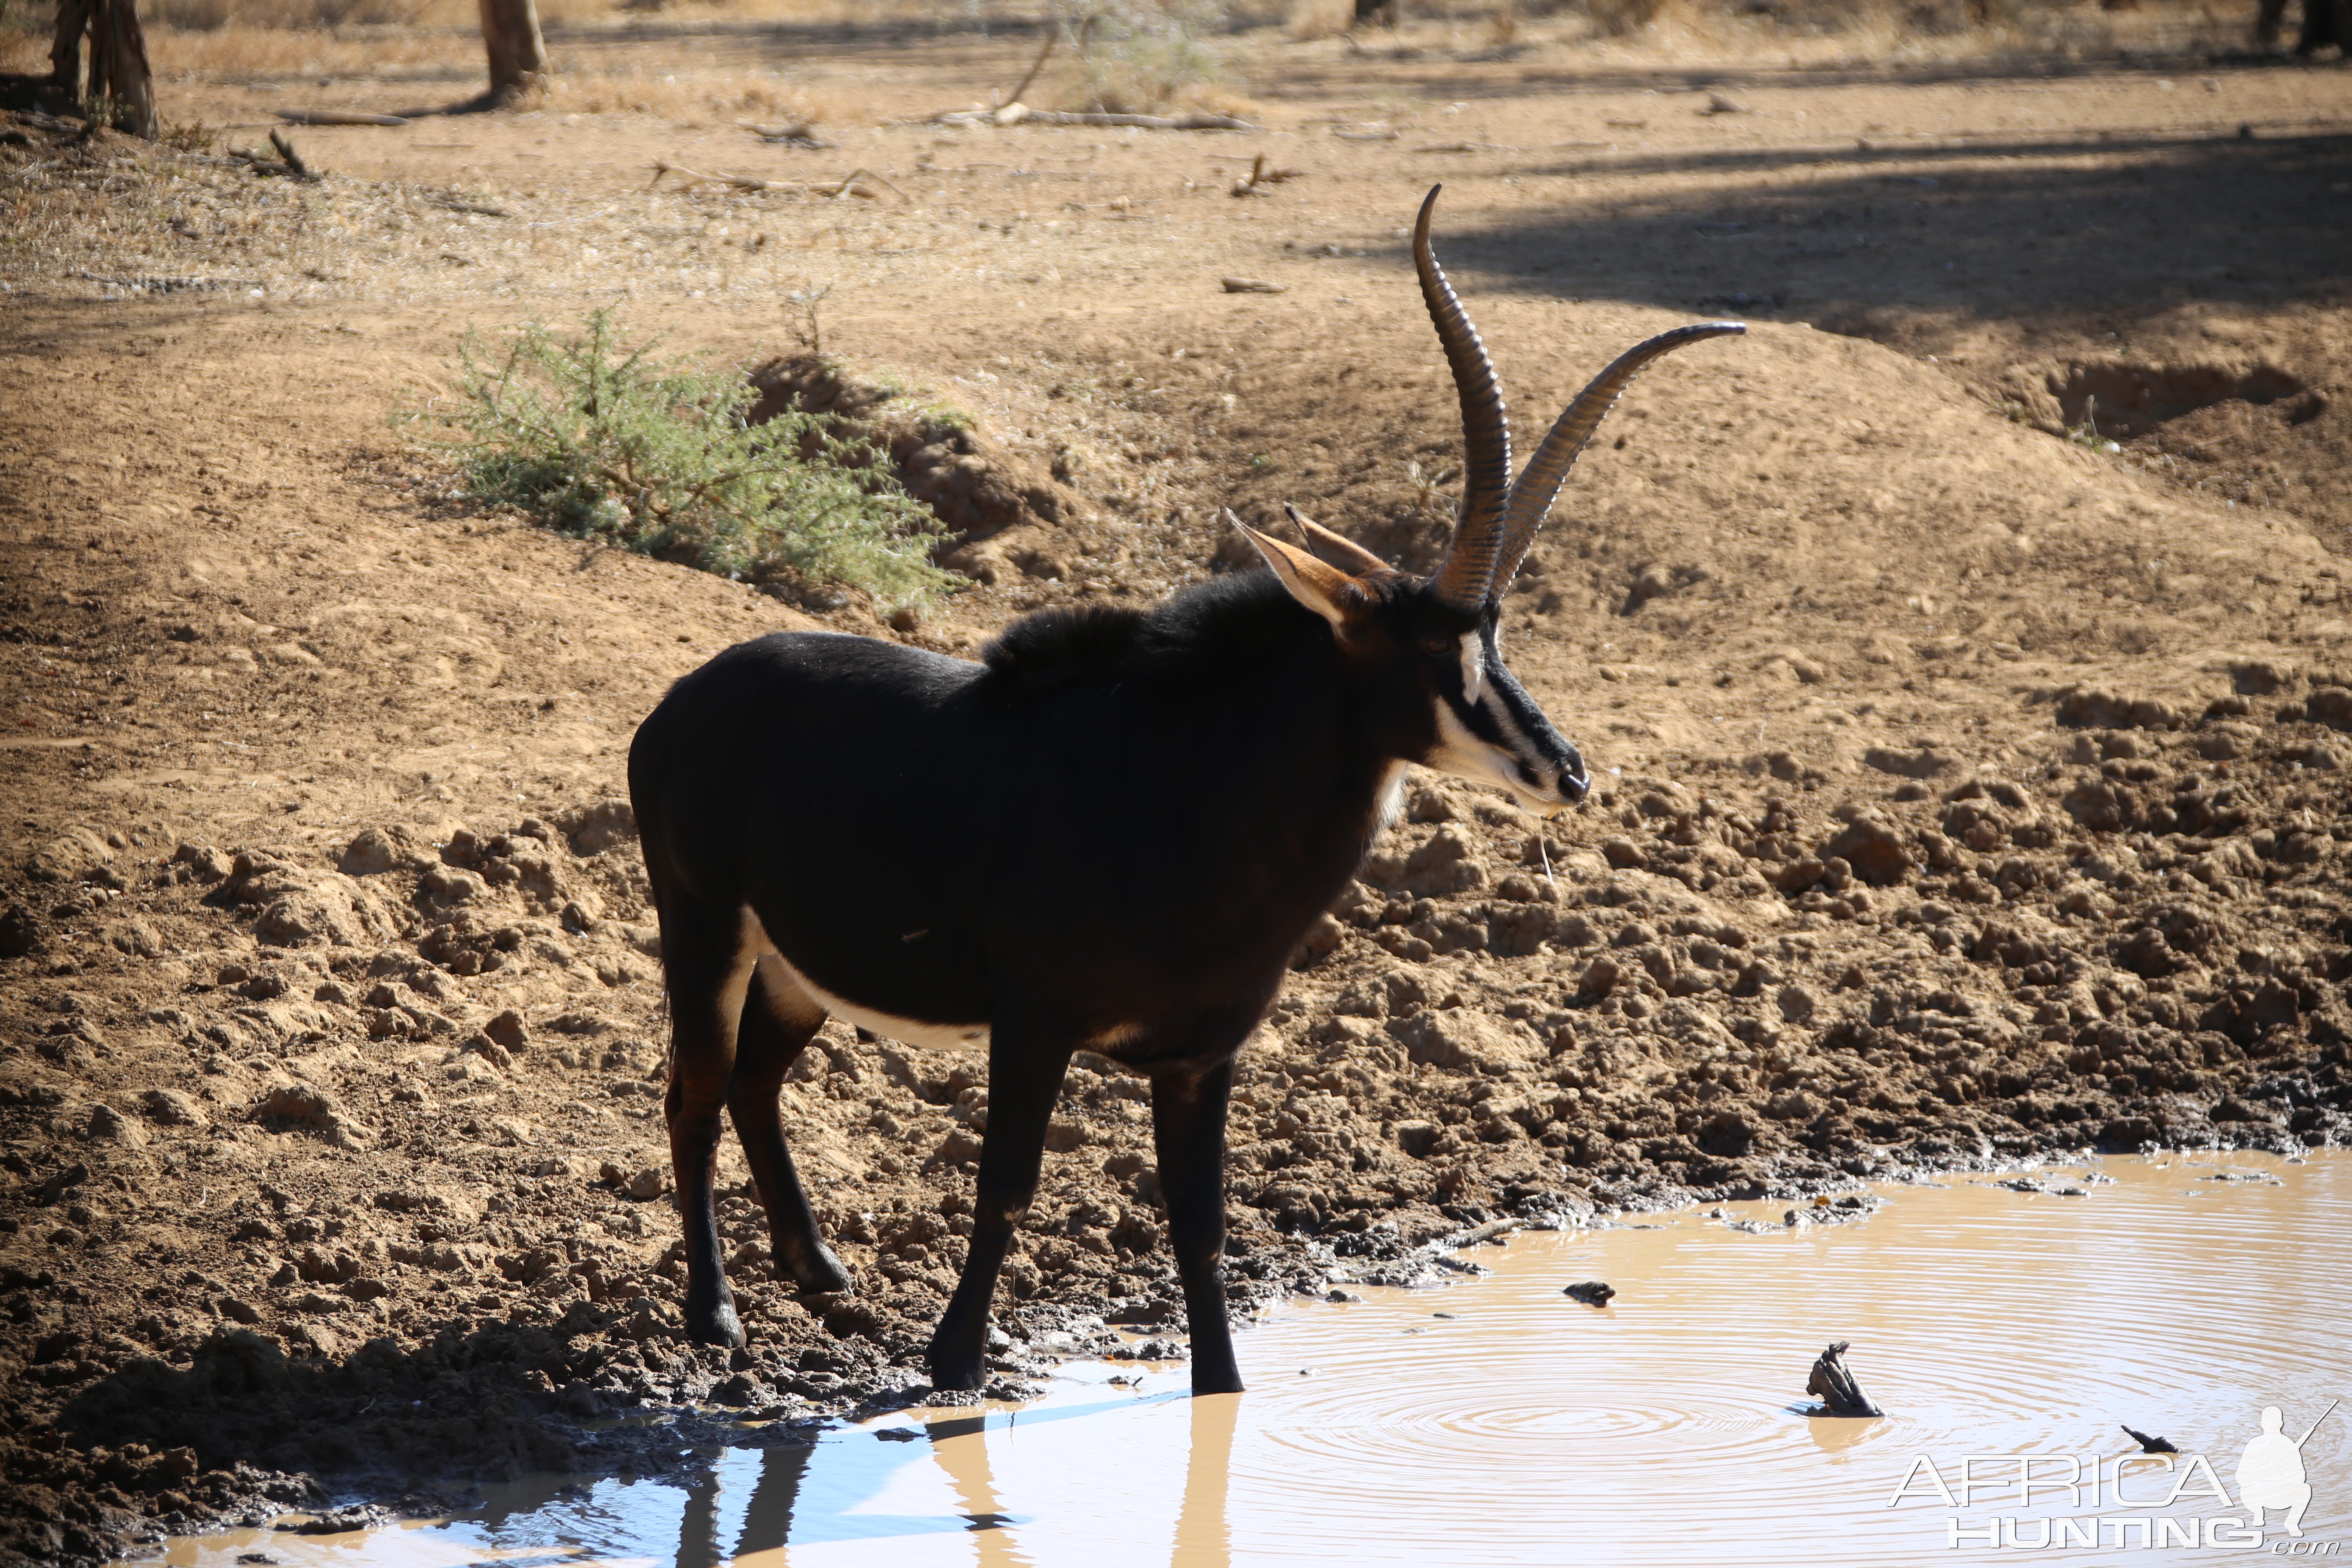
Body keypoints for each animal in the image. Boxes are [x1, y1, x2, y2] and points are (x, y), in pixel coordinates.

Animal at [635, 187, 1740, 1401]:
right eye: (1425, 653)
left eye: (1494, 641)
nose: (1566, 770)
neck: (1192, 799)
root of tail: (682, 701)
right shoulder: (1034, 1025)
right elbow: (1007, 1184)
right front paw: (954, 1363)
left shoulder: (1203, 1055)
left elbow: (1200, 1218)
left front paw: (1222, 1388)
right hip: (705, 930)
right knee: (695, 1092)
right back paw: (716, 1317)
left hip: (797, 969)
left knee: (751, 1083)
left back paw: (819, 1270)